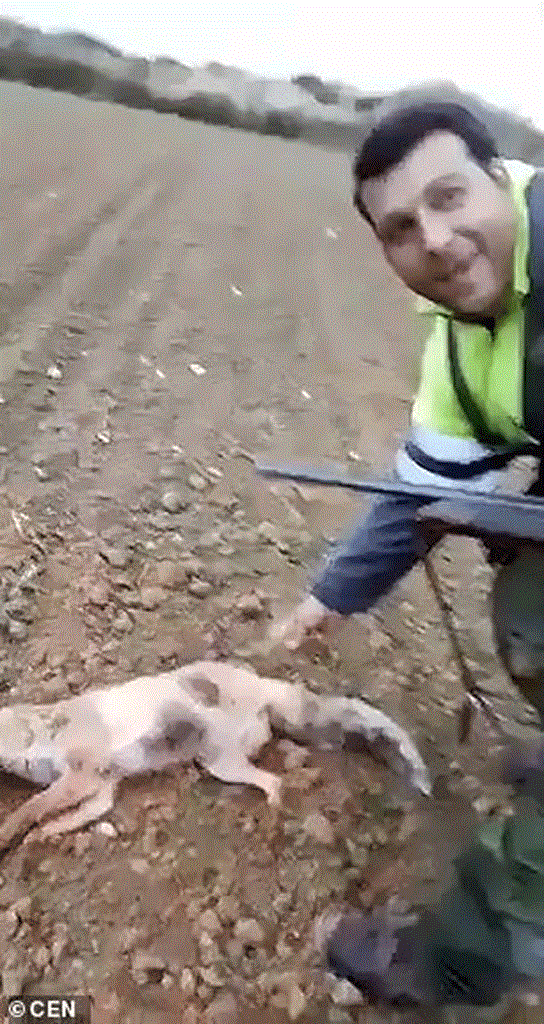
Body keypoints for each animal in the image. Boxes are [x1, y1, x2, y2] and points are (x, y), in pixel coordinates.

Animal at [0, 661, 431, 851]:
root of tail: (263, 685)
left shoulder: (83, 775)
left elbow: (32, 807)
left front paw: (11, 833)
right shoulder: (104, 788)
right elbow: (68, 816)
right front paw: (43, 834)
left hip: (220, 762)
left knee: (276, 782)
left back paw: (273, 822)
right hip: (220, 762)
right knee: (272, 780)